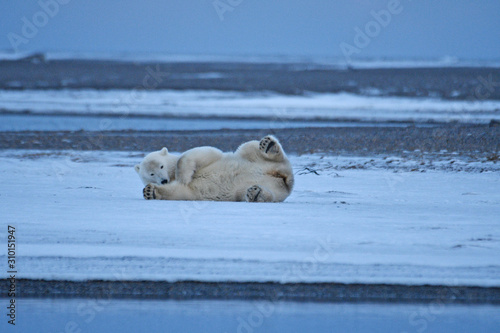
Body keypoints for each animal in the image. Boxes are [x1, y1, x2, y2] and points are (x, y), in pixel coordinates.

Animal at [136, 135, 292, 202]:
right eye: (151, 174)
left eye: (161, 166)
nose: (163, 180)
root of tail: (283, 179)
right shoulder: (190, 190)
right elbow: (180, 192)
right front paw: (150, 191)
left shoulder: (210, 158)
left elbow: (199, 154)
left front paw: (184, 177)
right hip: (267, 187)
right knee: (268, 194)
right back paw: (255, 193)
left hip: (252, 158)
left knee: (251, 147)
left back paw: (269, 145)